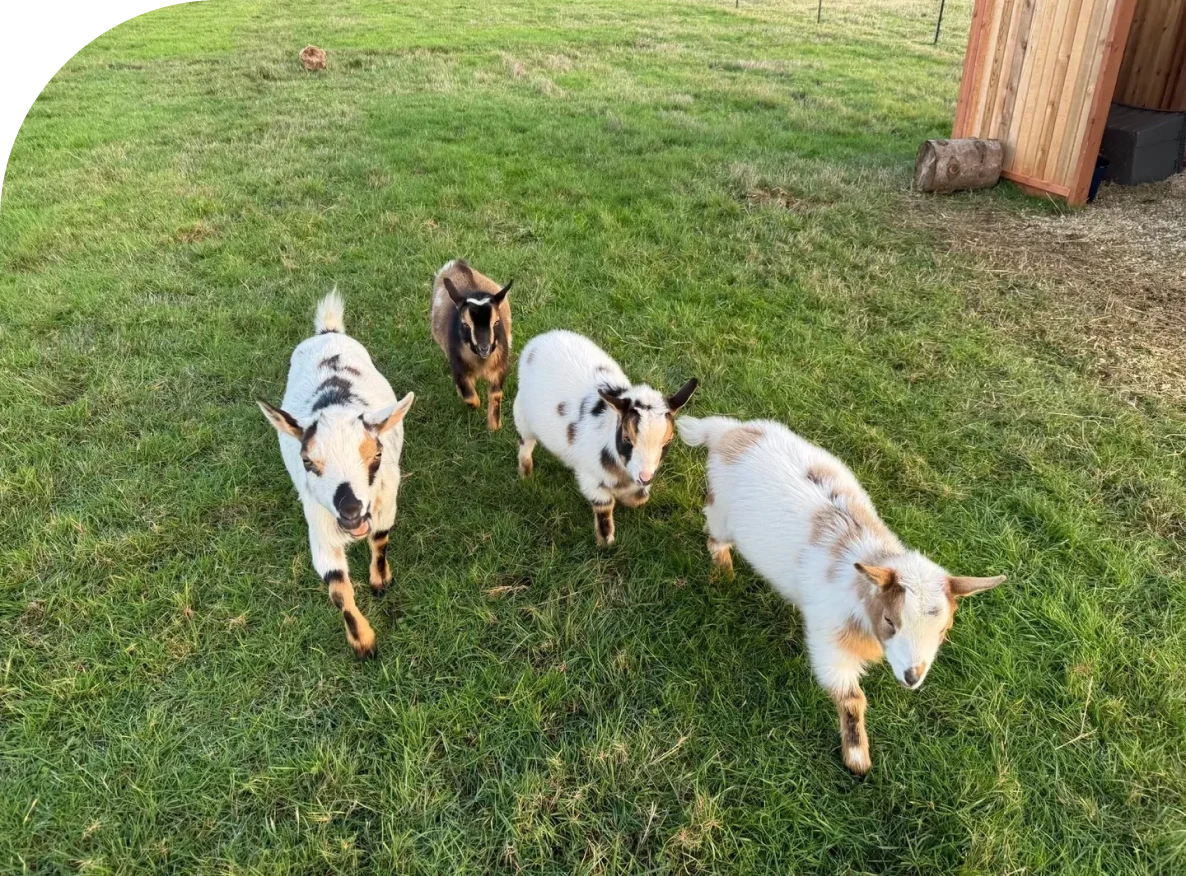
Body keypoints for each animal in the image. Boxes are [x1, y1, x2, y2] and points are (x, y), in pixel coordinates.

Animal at [258, 290, 415, 659]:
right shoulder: (320, 527)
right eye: (308, 462)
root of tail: (327, 332)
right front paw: (364, 643)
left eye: (376, 455)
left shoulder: (386, 502)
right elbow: (337, 589)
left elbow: (381, 539)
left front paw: (380, 581)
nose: (351, 509)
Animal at [431, 259, 513, 430]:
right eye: (465, 324)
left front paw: (494, 427)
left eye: (496, 321)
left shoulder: (500, 366)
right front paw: (475, 406)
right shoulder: (458, 366)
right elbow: (469, 397)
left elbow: (496, 394)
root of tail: (458, 263)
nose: (484, 348)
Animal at [514, 330, 697, 545]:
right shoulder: (591, 478)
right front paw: (605, 540)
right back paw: (526, 474)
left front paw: (629, 499)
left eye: (667, 441)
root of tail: (542, 339)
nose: (645, 477)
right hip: (522, 416)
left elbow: (640, 498)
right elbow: (604, 505)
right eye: (627, 437)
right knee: (525, 444)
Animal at [678, 415, 1006, 775]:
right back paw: (723, 575)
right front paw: (857, 759)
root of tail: (726, 432)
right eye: (890, 620)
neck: (860, 583)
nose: (912, 677)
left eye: (944, 630)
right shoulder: (831, 642)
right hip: (722, 512)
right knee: (715, 537)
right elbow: (851, 698)